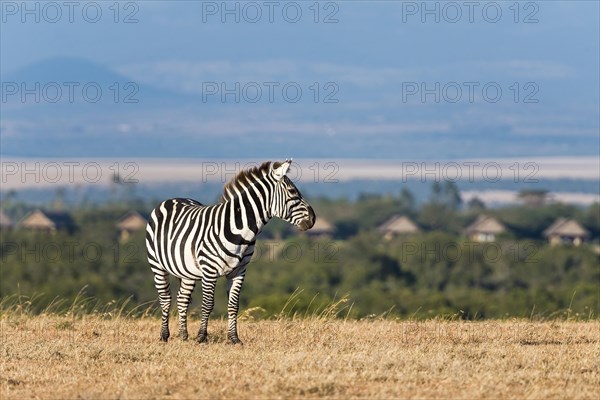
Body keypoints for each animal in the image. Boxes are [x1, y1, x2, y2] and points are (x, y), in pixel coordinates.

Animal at [146, 159, 314, 344]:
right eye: (292, 192)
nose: (313, 219)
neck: (240, 230)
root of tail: (172, 199)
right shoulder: (209, 270)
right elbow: (208, 304)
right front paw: (202, 337)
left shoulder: (239, 271)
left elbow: (233, 305)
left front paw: (234, 338)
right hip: (157, 265)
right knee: (165, 299)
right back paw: (164, 335)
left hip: (187, 271)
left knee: (182, 299)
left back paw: (183, 336)